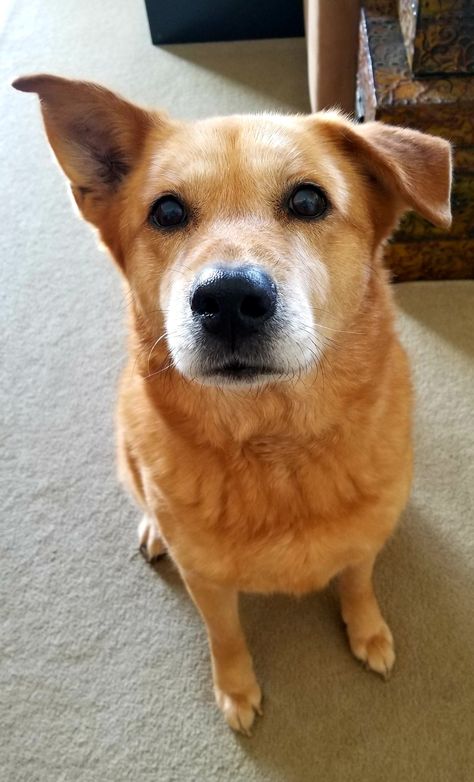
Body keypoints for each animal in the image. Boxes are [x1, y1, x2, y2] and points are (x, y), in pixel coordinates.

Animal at [13, 73, 452, 736]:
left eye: (308, 201)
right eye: (167, 211)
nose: (229, 299)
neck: (274, 447)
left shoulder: (363, 545)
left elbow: (357, 583)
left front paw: (368, 630)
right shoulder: (208, 584)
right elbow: (227, 637)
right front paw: (237, 689)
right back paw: (154, 530)